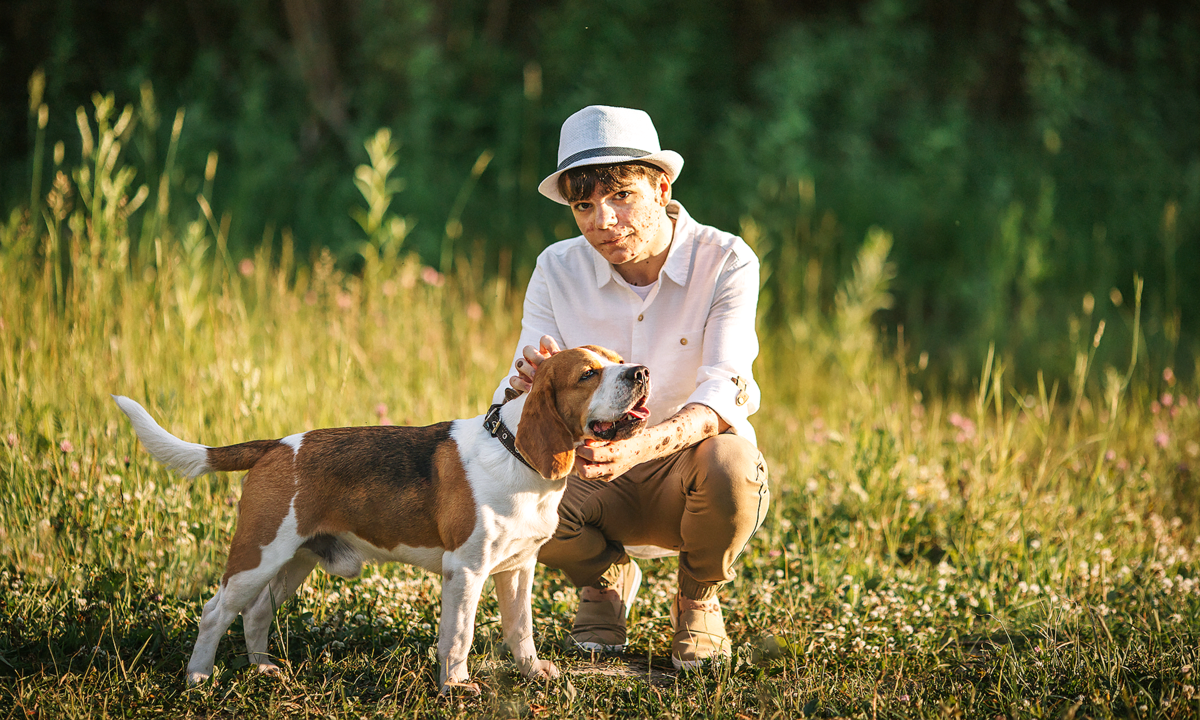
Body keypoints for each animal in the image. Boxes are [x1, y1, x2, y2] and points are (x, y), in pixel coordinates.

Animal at [114, 345, 648, 696]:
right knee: (215, 612)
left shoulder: (518, 569)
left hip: (293, 561)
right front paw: (457, 687)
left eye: (618, 357)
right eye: (588, 374)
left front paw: (533, 672)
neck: (515, 453)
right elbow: (459, 636)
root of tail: (275, 446)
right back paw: (198, 678)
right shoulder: (465, 571)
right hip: (256, 557)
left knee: (257, 613)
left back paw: (263, 670)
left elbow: (521, 630)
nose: (641, 371)